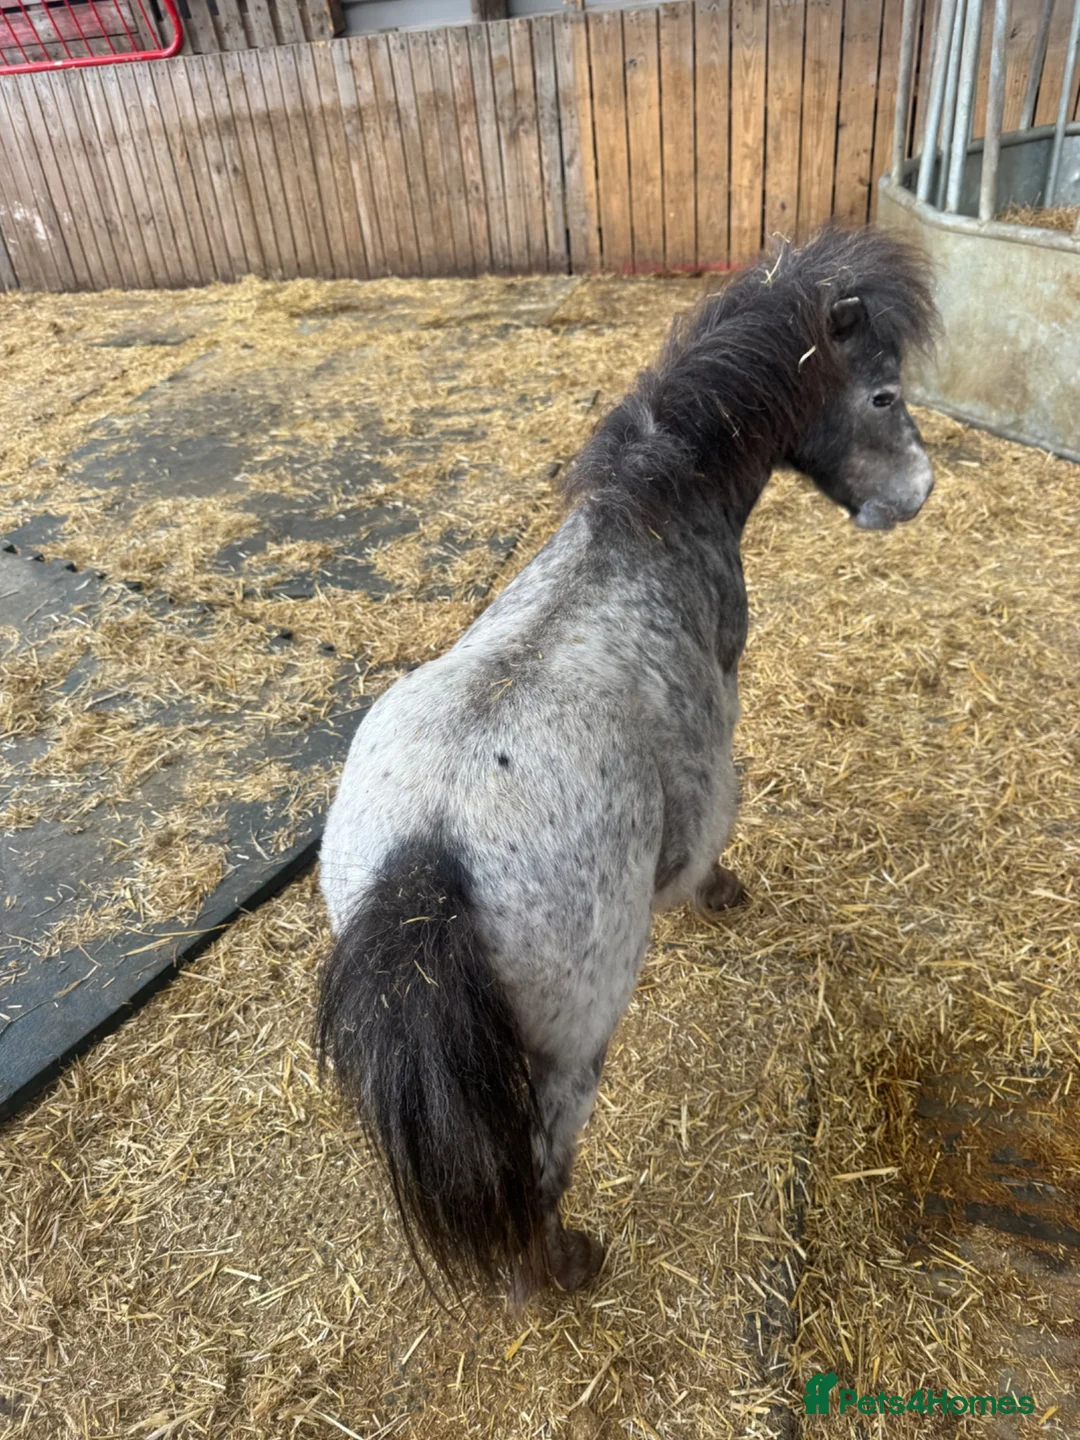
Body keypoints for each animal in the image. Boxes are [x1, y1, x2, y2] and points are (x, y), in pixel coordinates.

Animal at [316, 224, 938, 1305]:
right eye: (883, 395)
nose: (917, 492)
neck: (647, 513)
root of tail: (429, 857)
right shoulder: (718, 709)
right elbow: (715, 816)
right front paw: (715, 892)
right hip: (571, 1052)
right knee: (537, 1173)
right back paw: (565, 1268)